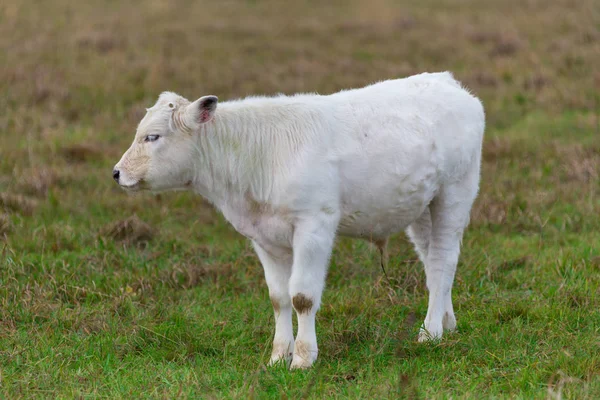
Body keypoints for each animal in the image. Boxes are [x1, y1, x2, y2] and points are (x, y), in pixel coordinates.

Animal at [115, 71, 486, 368]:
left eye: (152, 136)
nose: (117, 173)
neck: (260, 155)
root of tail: (447, 81)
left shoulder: (314, 227)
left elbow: (302, 296)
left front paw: (305, 358)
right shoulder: (264, 238)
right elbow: (279, 298)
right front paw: (279, 356)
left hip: (454, 194)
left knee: (443, 260)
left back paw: (430, 331)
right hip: (421, 208)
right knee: (432, 263)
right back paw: (447, 321)